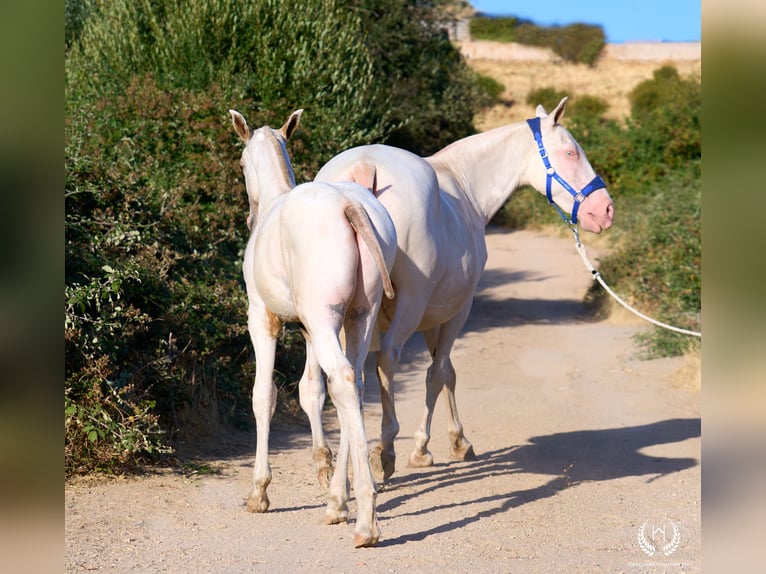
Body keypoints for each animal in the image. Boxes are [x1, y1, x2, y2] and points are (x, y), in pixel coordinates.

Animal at [229, 109, 397, 547]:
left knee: (343, 380)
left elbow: (264, 396)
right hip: (356, 318)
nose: (249, 217)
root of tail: (349, 206)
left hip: (326, 321)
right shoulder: (306, 328)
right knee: (353, 384)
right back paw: (339, 501)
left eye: (240, 164)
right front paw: (324, 466)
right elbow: (310, 391)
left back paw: (364, 521)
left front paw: (259, 491)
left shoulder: (262, 319)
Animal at [312, 97, 614, 482]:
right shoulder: (457, 309)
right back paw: (386, 450)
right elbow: (438, 372)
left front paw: (456, 440)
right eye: (571, 152)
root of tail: (366, 168)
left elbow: (447, 372)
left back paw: (329, 459)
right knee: (387, 358)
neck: (464, 185)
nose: (605, 210)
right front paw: (427, 447)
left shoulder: (432, 316)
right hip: (407, 304)